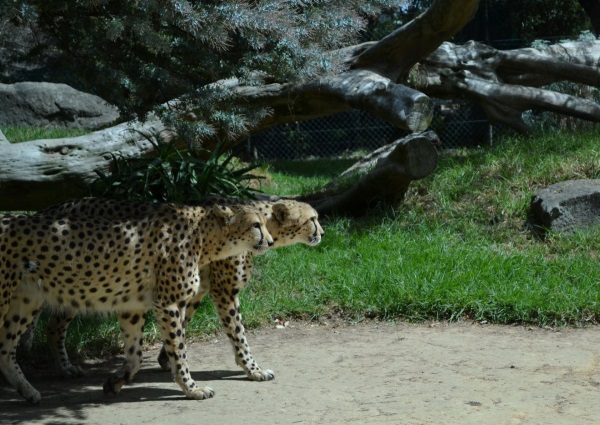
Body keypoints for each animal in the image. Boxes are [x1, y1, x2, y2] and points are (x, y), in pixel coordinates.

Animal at [0, 200, 274, 404]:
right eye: (256, 225)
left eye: (265, 224)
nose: (270, 242)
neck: (205, 236)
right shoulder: (171, 303)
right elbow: (183, 349)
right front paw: (192, 388)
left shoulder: (132, 306)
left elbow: (136, 356)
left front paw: (115, 382)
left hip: (27, 300)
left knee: (6, 349)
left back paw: (29, 391)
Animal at [32, 197, 324, 382]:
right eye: (313, 219)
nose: (323, 233)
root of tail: (54, 207)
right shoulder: (224, 290)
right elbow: (239, 334)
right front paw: (253, 369)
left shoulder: (195, 288)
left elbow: (182, 324)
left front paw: (167, 359)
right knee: (53, 327)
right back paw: (64, 369)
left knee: (51, 326)